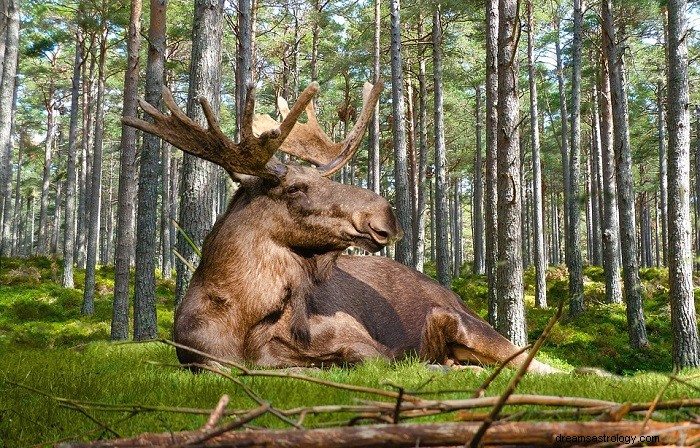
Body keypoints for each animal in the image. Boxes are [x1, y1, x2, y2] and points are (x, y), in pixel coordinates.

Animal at [123, 81, 556, 374]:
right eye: (296, 188)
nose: (386, 215)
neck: (243, 315)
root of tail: (454, 294)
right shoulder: (200, 357)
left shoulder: (363, 342)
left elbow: (356, 360)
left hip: (468, 324)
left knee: (533, 362)